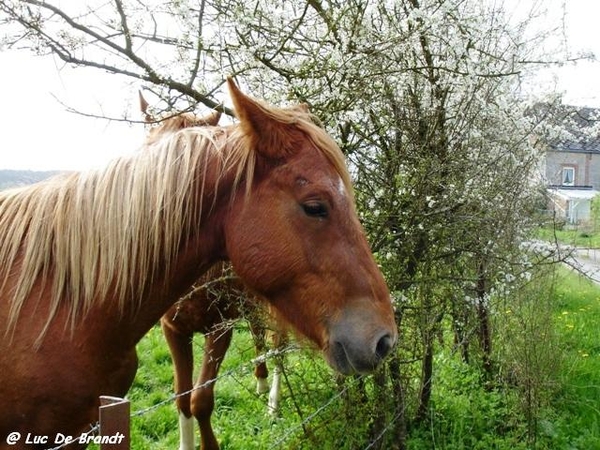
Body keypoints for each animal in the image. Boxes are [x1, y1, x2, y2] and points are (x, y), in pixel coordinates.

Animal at [0, 79, 398, 448]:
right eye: (315, 207)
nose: (383, 340)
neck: (62, 304)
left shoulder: (219, 330)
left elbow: (201, 400)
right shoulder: (173, 331)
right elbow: (181, 400)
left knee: (276, 347)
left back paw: (271, 401)